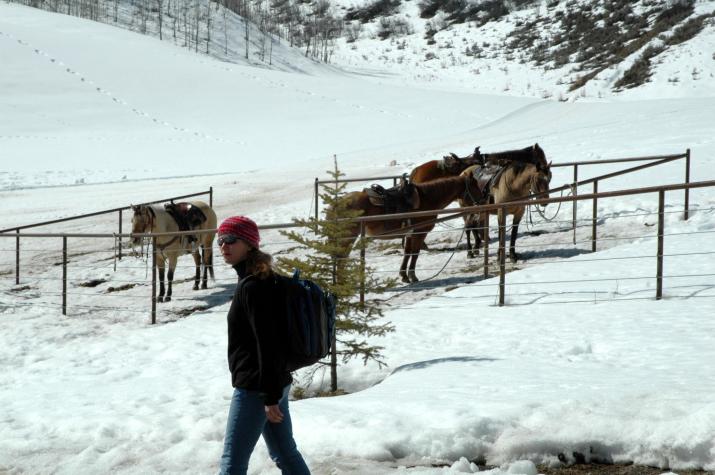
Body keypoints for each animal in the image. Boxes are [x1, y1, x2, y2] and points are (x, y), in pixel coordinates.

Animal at [334, 177, 482, 284]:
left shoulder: (410, 234)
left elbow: (407, 252)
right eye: (474, 187)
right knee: (341, 258)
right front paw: (413, 276)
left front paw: (404, 276)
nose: (481, 202)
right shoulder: (420, 233)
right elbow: (415, 253)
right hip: (348, 238)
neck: (426, 199)